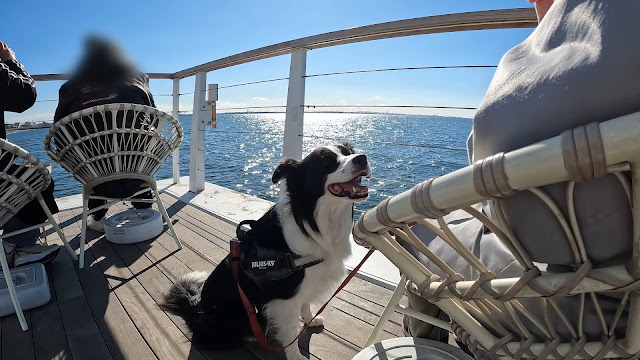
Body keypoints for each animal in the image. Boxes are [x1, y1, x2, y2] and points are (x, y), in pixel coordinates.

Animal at [160, 143, 372, 360]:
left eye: (348, 152)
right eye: (326, 162)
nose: (362, 158)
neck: (313, 223)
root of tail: (197, 311)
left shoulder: (307, 283)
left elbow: (306, 304)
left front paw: (310, 320)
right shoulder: (285, 297)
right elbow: (291, 331)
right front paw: (296, 356)